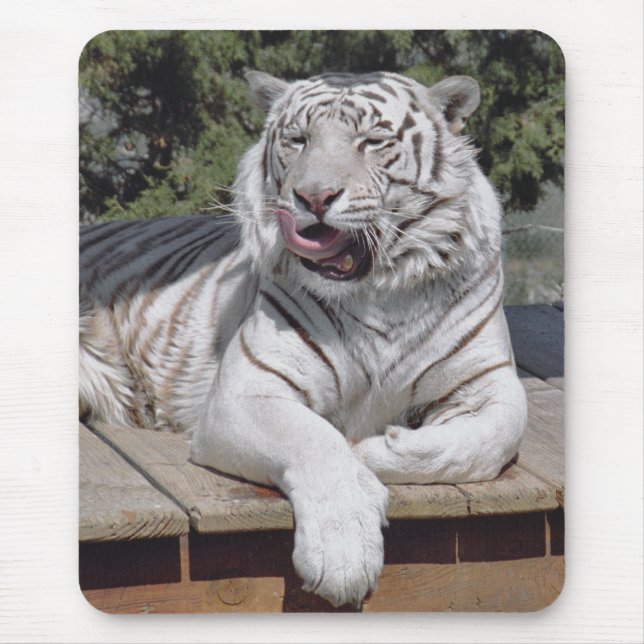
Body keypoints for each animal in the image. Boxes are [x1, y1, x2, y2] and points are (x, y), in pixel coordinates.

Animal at [79, 70, 527, 607]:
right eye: (298, 140)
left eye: (372, 142)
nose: (314, 198)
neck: (379, 293)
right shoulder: (245, 391)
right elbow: (317, 441)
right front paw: (344, 554)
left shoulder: (490, 383)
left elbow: (489, 441)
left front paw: (378, 449)